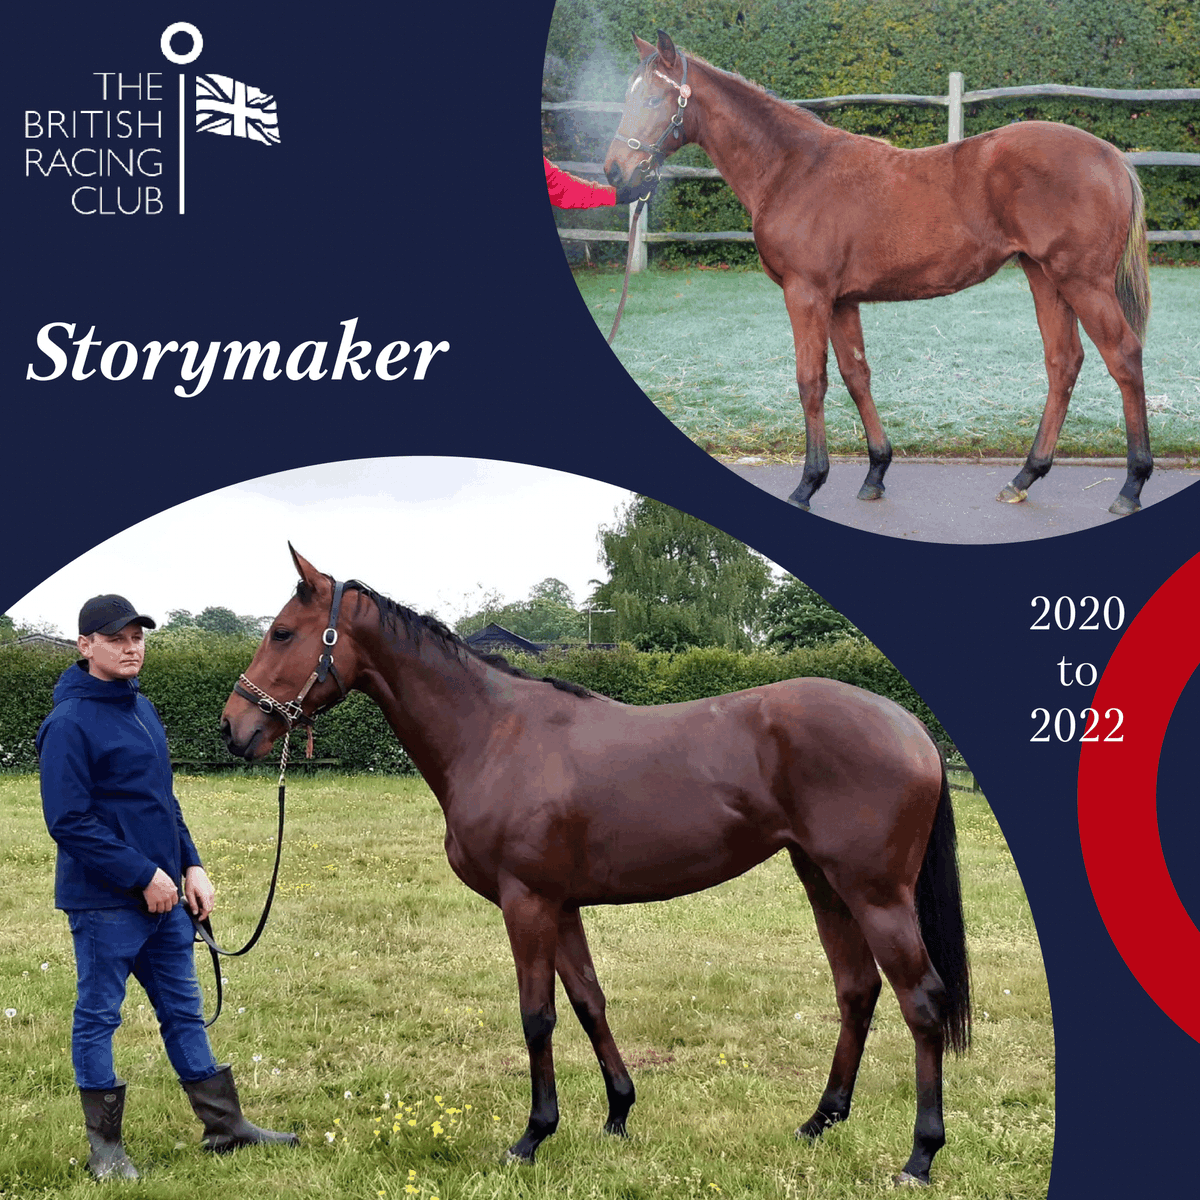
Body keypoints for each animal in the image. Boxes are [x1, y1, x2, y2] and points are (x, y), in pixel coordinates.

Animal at [220, 547, 972, 1186]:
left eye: (282, 633)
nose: (234, 728)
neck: (493, 734)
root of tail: (909, 727)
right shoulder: (562, 905)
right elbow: (588, 1002)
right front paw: (617, 1113)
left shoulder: (526, 902)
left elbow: (538, 1016)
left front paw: (532, 1136)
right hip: (825, 883)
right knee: (857, 991)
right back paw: (820, 1121)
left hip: (876, 894)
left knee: (921, 1001)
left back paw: (921, 1155)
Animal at [604, 31, 1153, 517]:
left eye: (653, 98)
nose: (614, 173)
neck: (791, 169)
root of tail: (1112, 156)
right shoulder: (842, 300)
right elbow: (856, 376)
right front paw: (875, 472)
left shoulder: (806, 294)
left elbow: (811, 380)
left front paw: (808, 483)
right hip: (1045, 277)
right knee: (1064, 362)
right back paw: (1025, 476)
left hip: (1082, 281)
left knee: (1123, 357)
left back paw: (1131, 484)